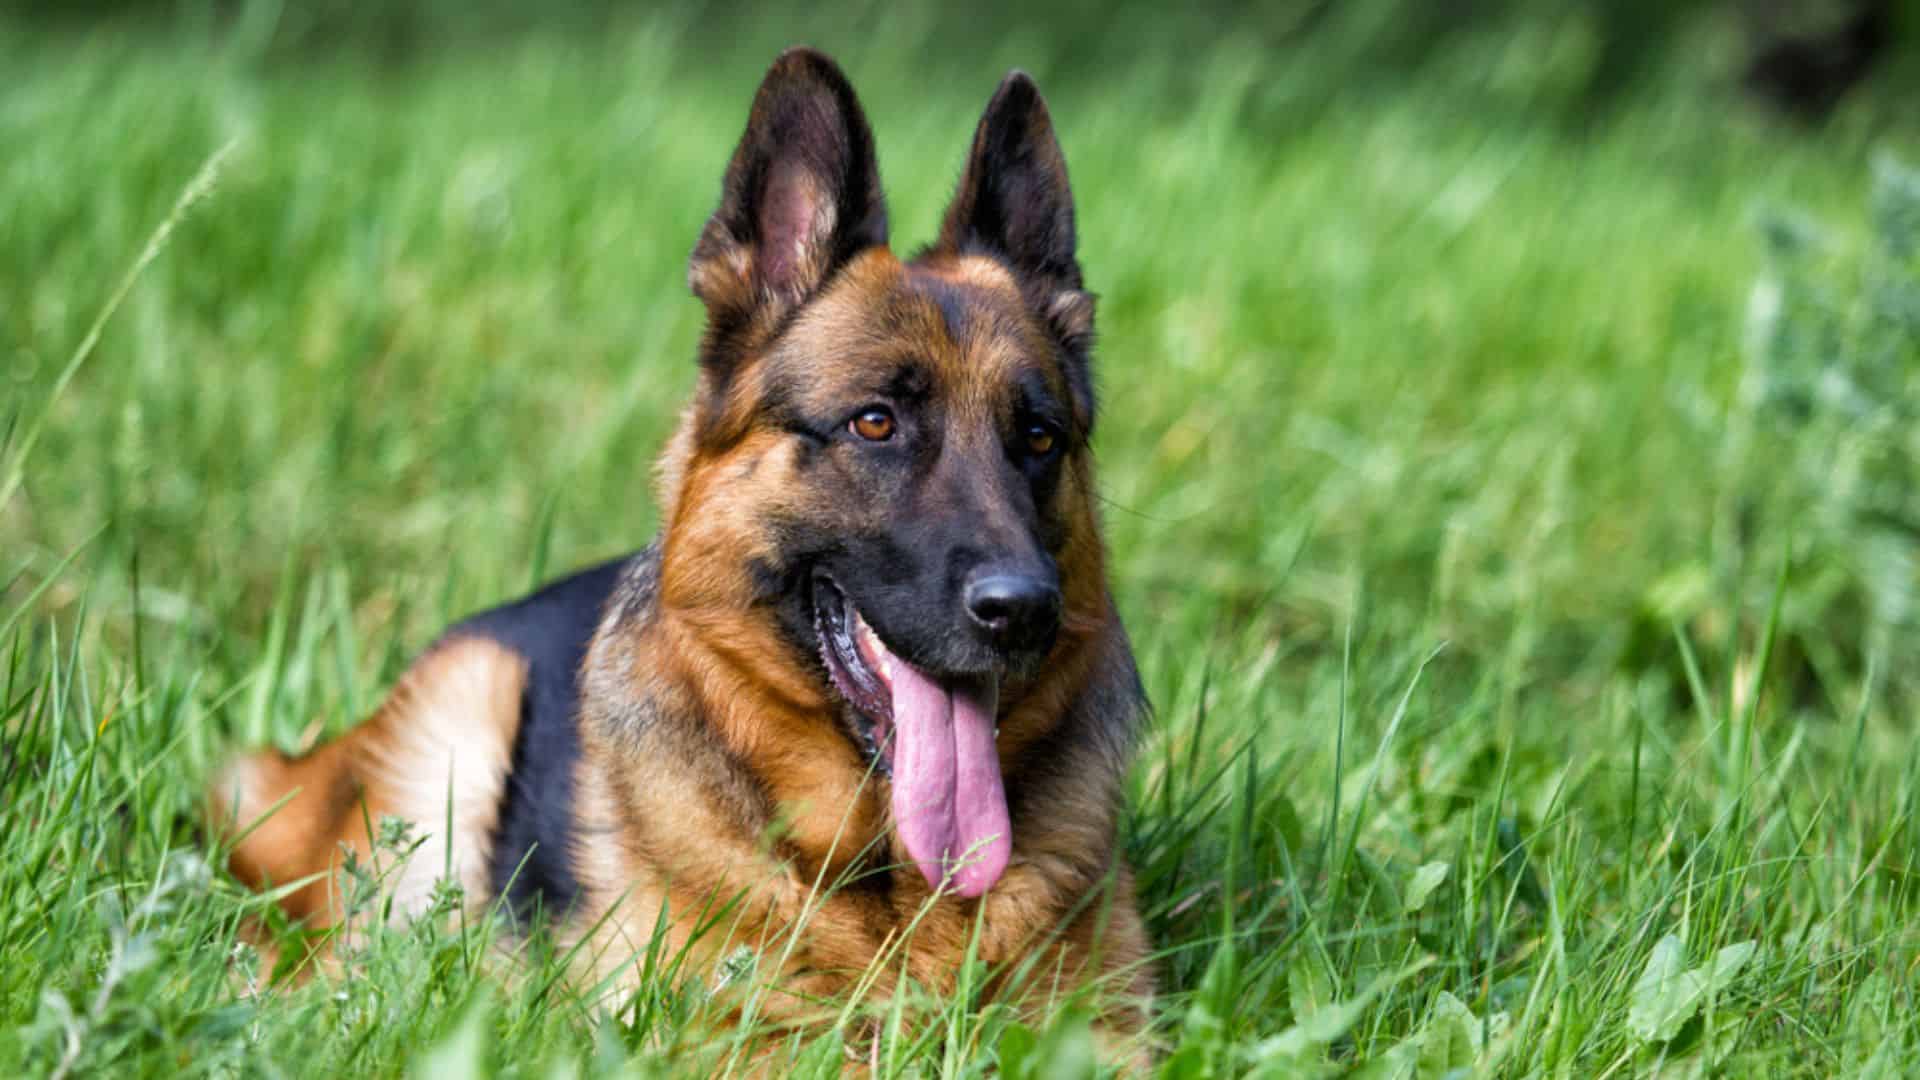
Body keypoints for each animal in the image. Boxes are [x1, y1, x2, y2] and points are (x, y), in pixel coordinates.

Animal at [217, 46, 1159, 1045]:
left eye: (1039, 439)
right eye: (875, 423)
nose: (1023, 611)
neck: (889, 885)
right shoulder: (724, 1041)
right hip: (451, 740)